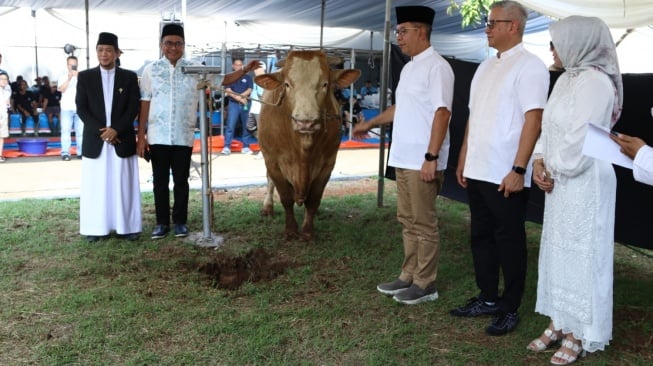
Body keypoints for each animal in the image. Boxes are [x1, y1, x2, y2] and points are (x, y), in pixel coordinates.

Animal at [253, 50, 360, 240]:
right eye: (287, 84)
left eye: (325, 84)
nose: (306, 122)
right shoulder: (273, 161)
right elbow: (286, 197)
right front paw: (290, 230)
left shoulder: (327, 164)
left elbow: (314, 199)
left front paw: (308, 231)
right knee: (269, 181)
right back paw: (267, 207)